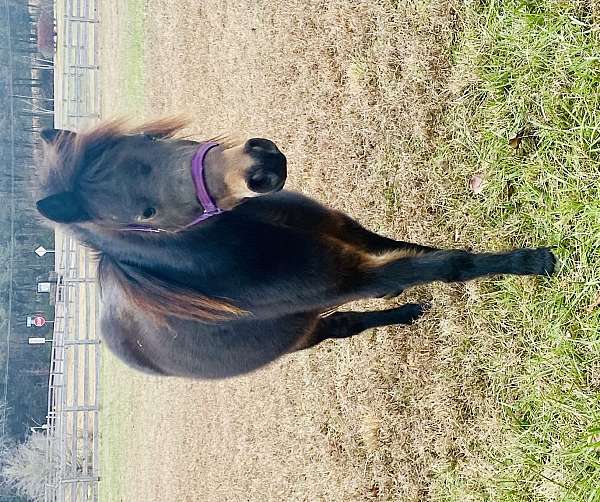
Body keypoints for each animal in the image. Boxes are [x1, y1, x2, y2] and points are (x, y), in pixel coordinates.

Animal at [36, 118, 552, 376]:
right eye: (146, 214)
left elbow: (411, 249)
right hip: (301, 335)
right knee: (342, 325)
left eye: (146, 138)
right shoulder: (354, 278)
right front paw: (534, 260)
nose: (261, 166)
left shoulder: (343, 231)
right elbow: (449, 265)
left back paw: (407, 311)